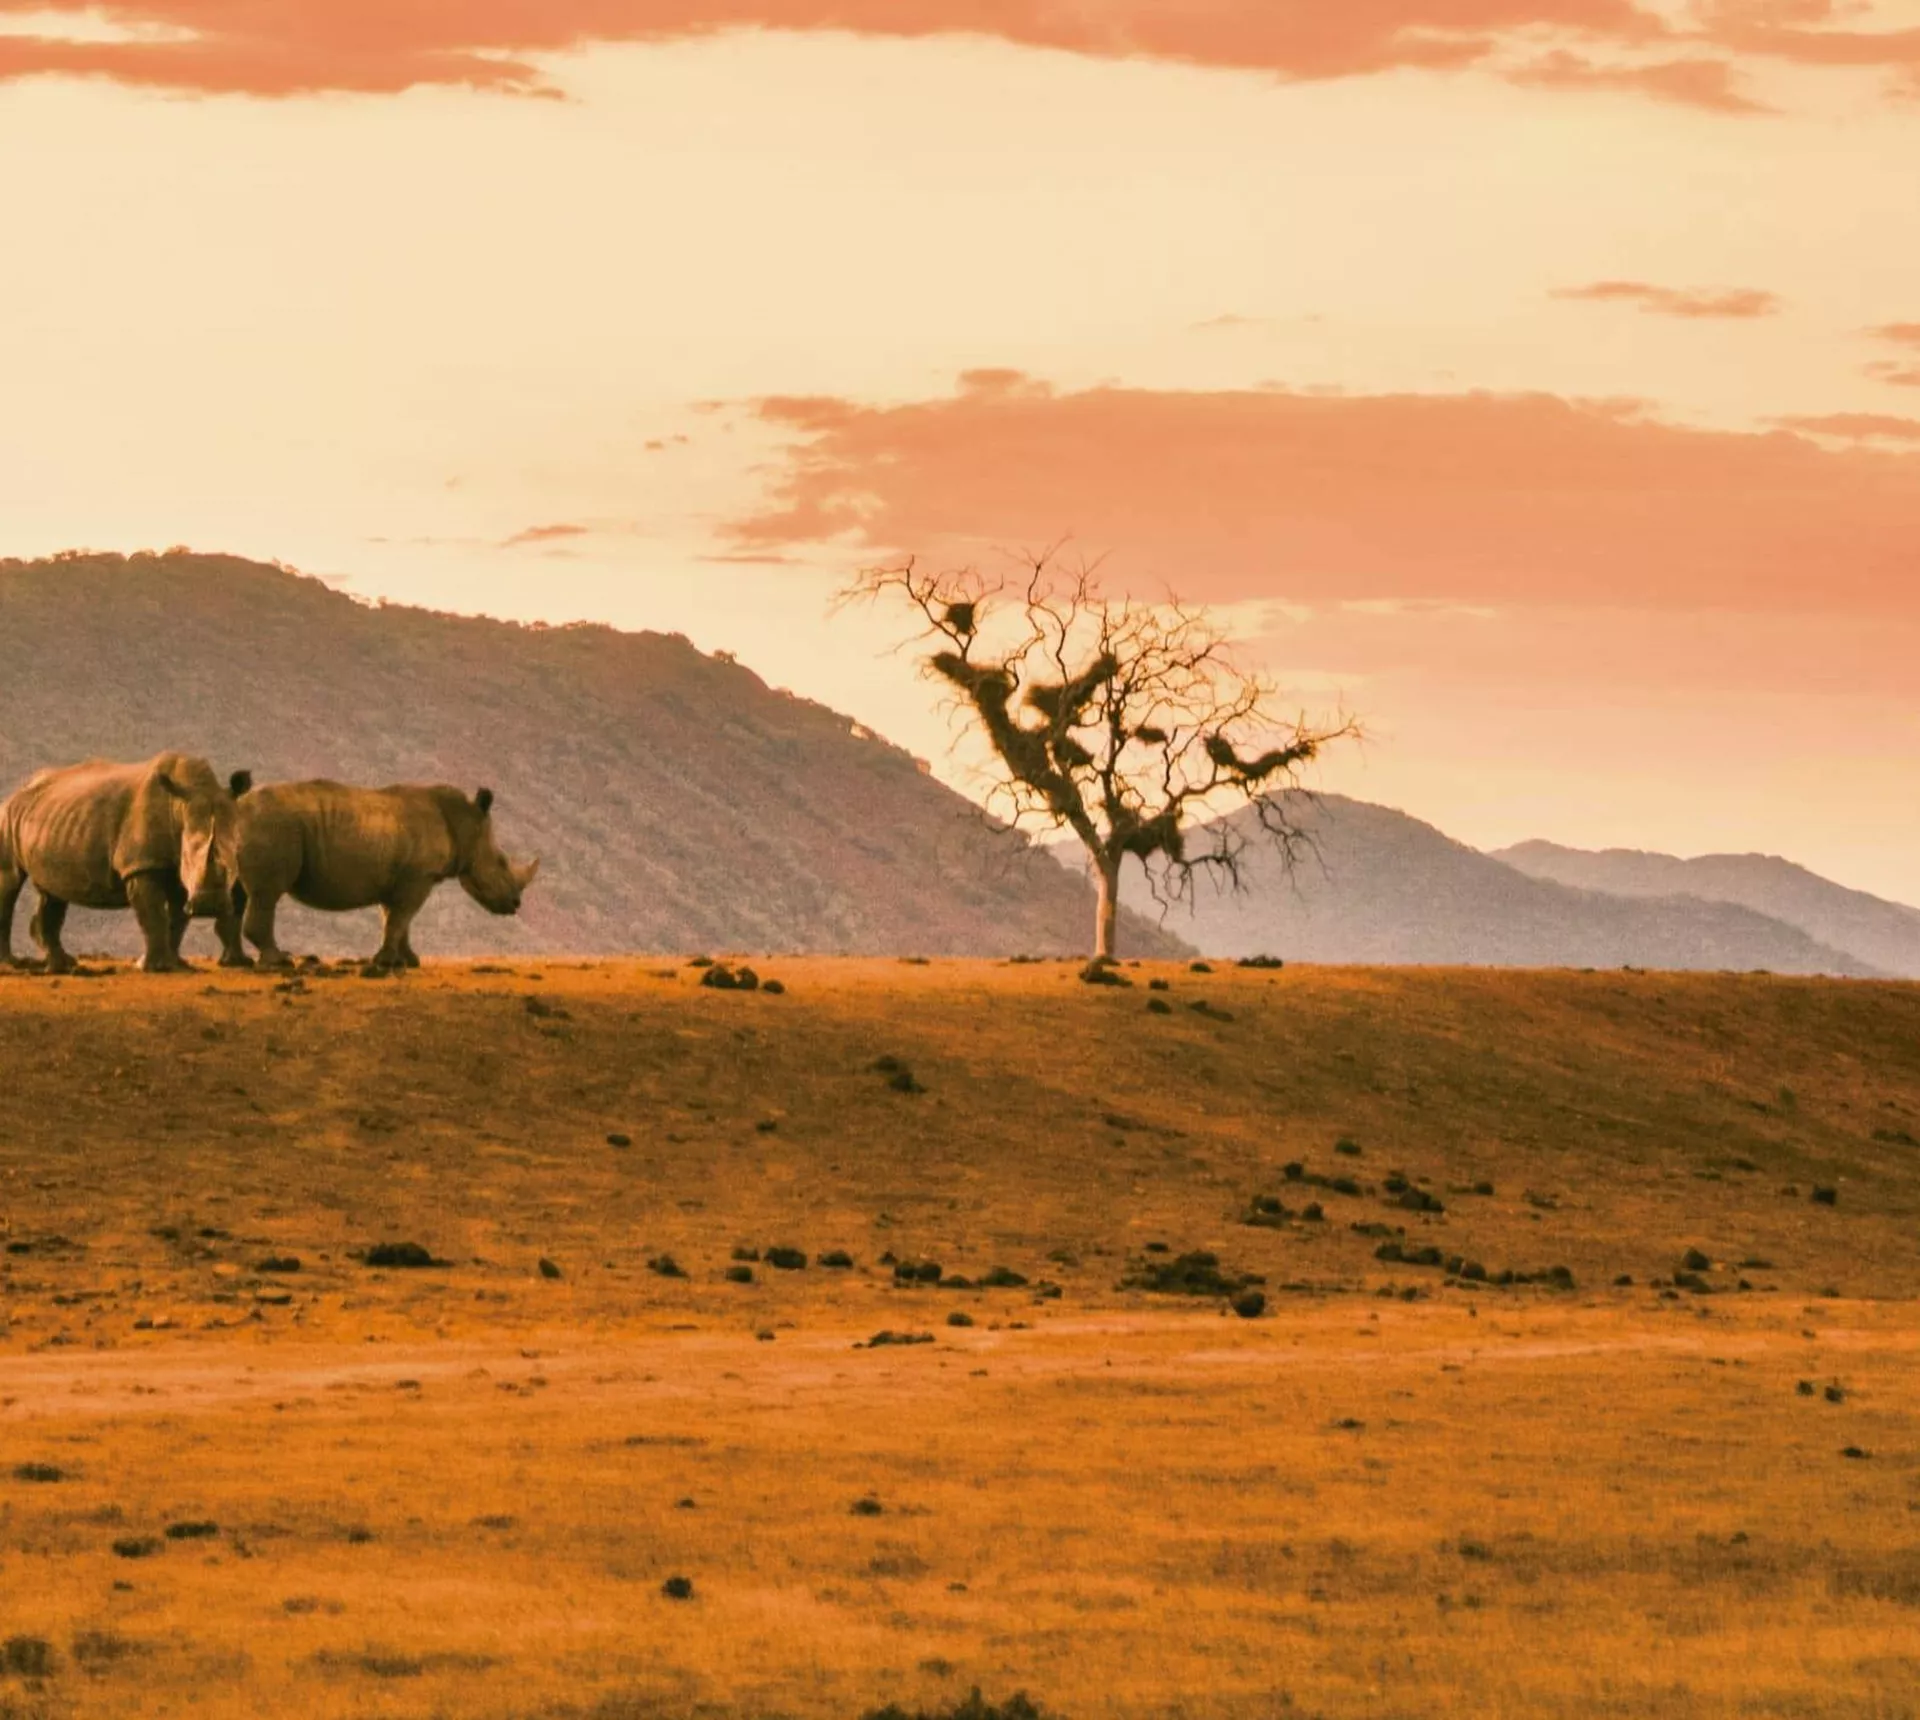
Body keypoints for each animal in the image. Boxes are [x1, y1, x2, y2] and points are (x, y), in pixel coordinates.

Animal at [0, 754, 252, 973]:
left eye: (233, 859)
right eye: (188, 857)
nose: (209, 906)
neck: (180, 807)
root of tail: (17, 792)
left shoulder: (176, 871)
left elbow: (177, 919)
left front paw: (177, 965)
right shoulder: (141, 865)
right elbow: (153, 915)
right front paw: (156, 968)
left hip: (53, 821)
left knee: (52, 891)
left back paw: (63, 966)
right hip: (6, 815)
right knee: (11, 881)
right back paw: (14, 964)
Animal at [233, 780, 539, 971]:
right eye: (501, 862)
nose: (516, 904)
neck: (464, 820)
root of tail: (239, 805)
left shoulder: (399, 878)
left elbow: (395, 919)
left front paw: (409, 961)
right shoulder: (418, 876)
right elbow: (401, 917)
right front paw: (387, 962)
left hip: (261, 825)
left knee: (239, 894)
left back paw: (242, 962)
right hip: (275, 825)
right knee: (267, 894)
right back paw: (278, 962)